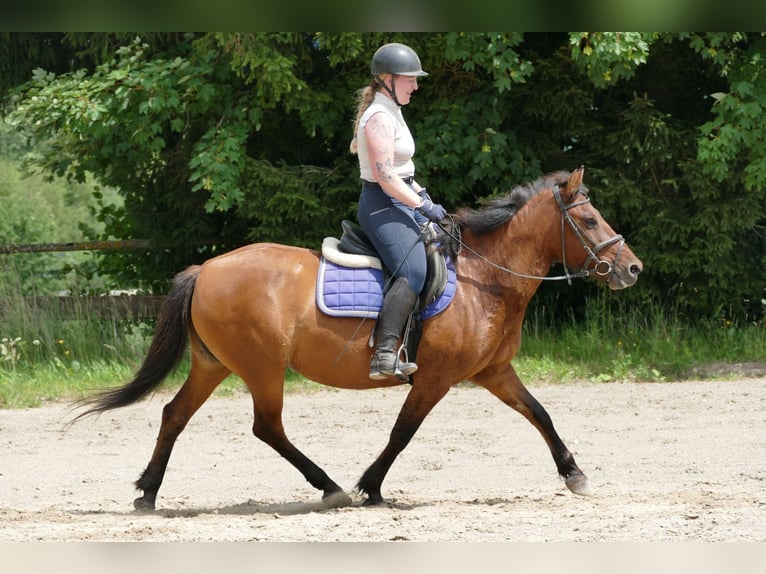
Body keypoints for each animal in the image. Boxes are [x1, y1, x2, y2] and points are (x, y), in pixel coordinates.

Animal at [73, 166, 642, 510]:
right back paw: (331, 488)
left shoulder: (493, 372)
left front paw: (574, 473)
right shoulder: (435, 377)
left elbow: (540, 413)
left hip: (214, 364)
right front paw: (371, 487)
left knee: (175, 414)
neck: (485, 278)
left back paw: (148, 493)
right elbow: (403, 432)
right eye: (589, 220)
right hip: (261, 367)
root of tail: (207, 268)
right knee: (266, 427)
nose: (632, 268)